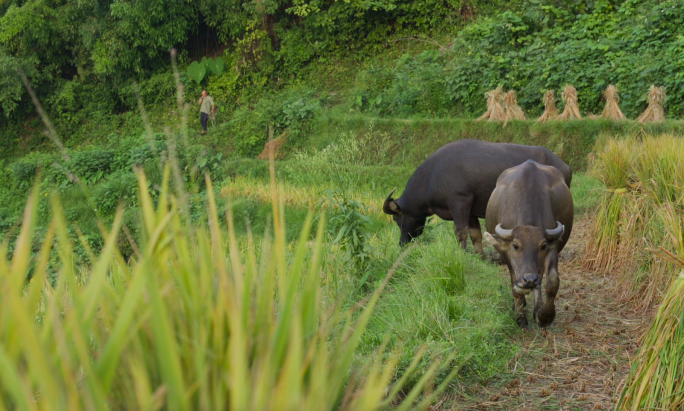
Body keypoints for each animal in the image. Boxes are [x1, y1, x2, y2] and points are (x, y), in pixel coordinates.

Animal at [382, 140, 568, 254]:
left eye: (396, 219)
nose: (401, 243)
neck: (431, 177)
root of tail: (562, 165)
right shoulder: (470, 210)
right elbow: (475, 234)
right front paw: (480, 255)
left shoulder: (459, 202)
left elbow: (460, 231)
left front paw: (462, 253)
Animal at [484, 160, 576, 328]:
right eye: (515, 245)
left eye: (543, 246)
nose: (529, 280)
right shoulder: (507, 255)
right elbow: (514, 284)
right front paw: (520, 317)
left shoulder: (552, 248)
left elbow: (552, 281)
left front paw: (545, 315)